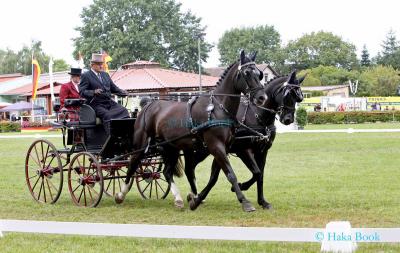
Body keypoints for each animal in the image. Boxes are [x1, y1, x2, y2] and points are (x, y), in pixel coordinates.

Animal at [115, 51, 266, 211]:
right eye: (246, 73)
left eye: (259, 74)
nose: (262, 97)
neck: (218, 108)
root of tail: (148, 105)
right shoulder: (216, 146)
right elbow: (230, 174)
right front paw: (245, 201)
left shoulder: (224, 147)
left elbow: (216, 177)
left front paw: (196, 200)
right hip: (142, 144)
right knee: (132, 164)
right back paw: (120, 195)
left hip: (171, 147)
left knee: (167, 172)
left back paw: (178, 199)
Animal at [186, 70, 304, 210]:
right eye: (287, 94)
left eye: (299, 98)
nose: (288, 119)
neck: (257, 115)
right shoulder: (243, 150)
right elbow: (256, 172)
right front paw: (241, 187)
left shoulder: (262, 151)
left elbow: (260, 174)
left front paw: (262, 201)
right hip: (203, 150)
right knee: (189, 169)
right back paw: (193, 195)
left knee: (191, 168)